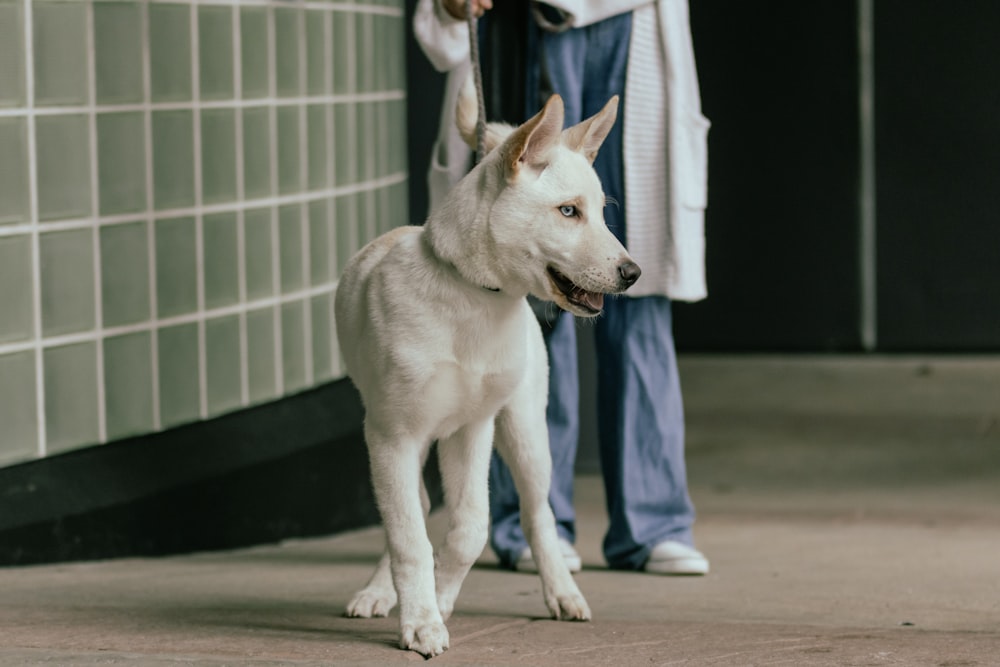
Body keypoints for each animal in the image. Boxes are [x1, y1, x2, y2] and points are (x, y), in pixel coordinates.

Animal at [336, 82, 640, 656]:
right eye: (569, 211)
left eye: (600, 212)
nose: (633, 273)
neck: (472, 293)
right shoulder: (392, 435)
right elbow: (409, 534)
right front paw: (420, 616)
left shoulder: (473, 428)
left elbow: (469, 530)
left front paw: (440, 601)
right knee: (409, 507)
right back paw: (378, 591)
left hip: (525, 429)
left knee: (538, 515)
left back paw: (562, 592)